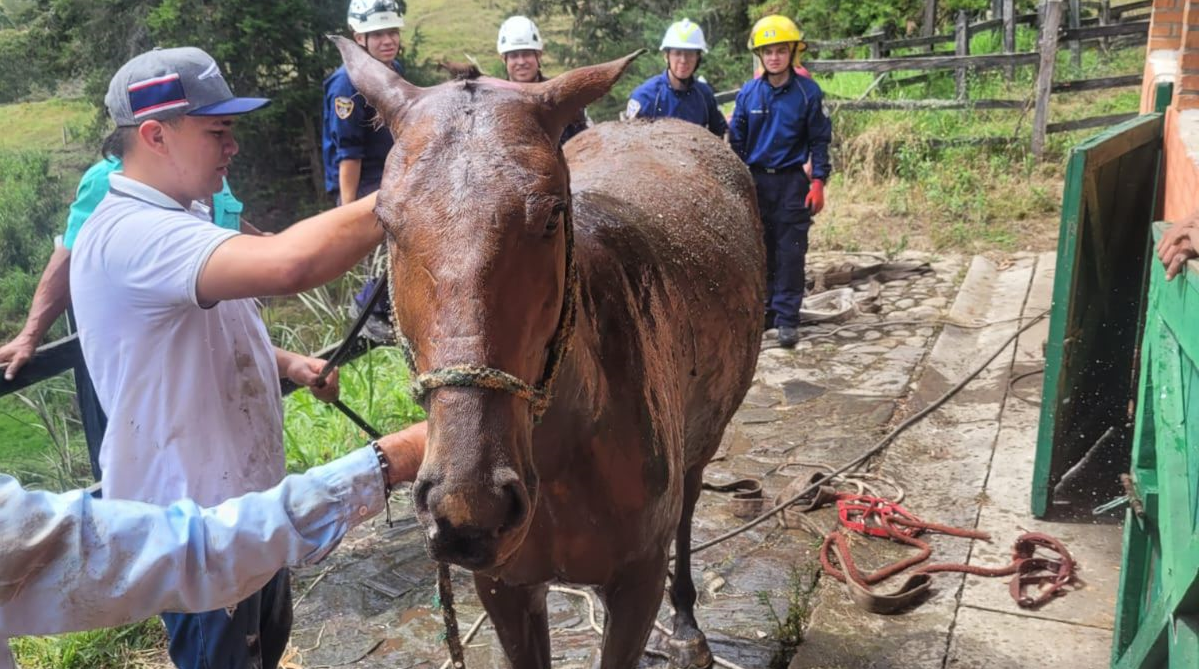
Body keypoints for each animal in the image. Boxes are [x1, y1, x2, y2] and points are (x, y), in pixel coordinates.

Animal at [335, 38, 767, 669]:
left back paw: (686, 622)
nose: (471, 507)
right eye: (384, 221)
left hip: (703, 441)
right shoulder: (504, 588)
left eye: (551, 214)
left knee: (690, 503)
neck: (567, 442)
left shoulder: (636, 584)